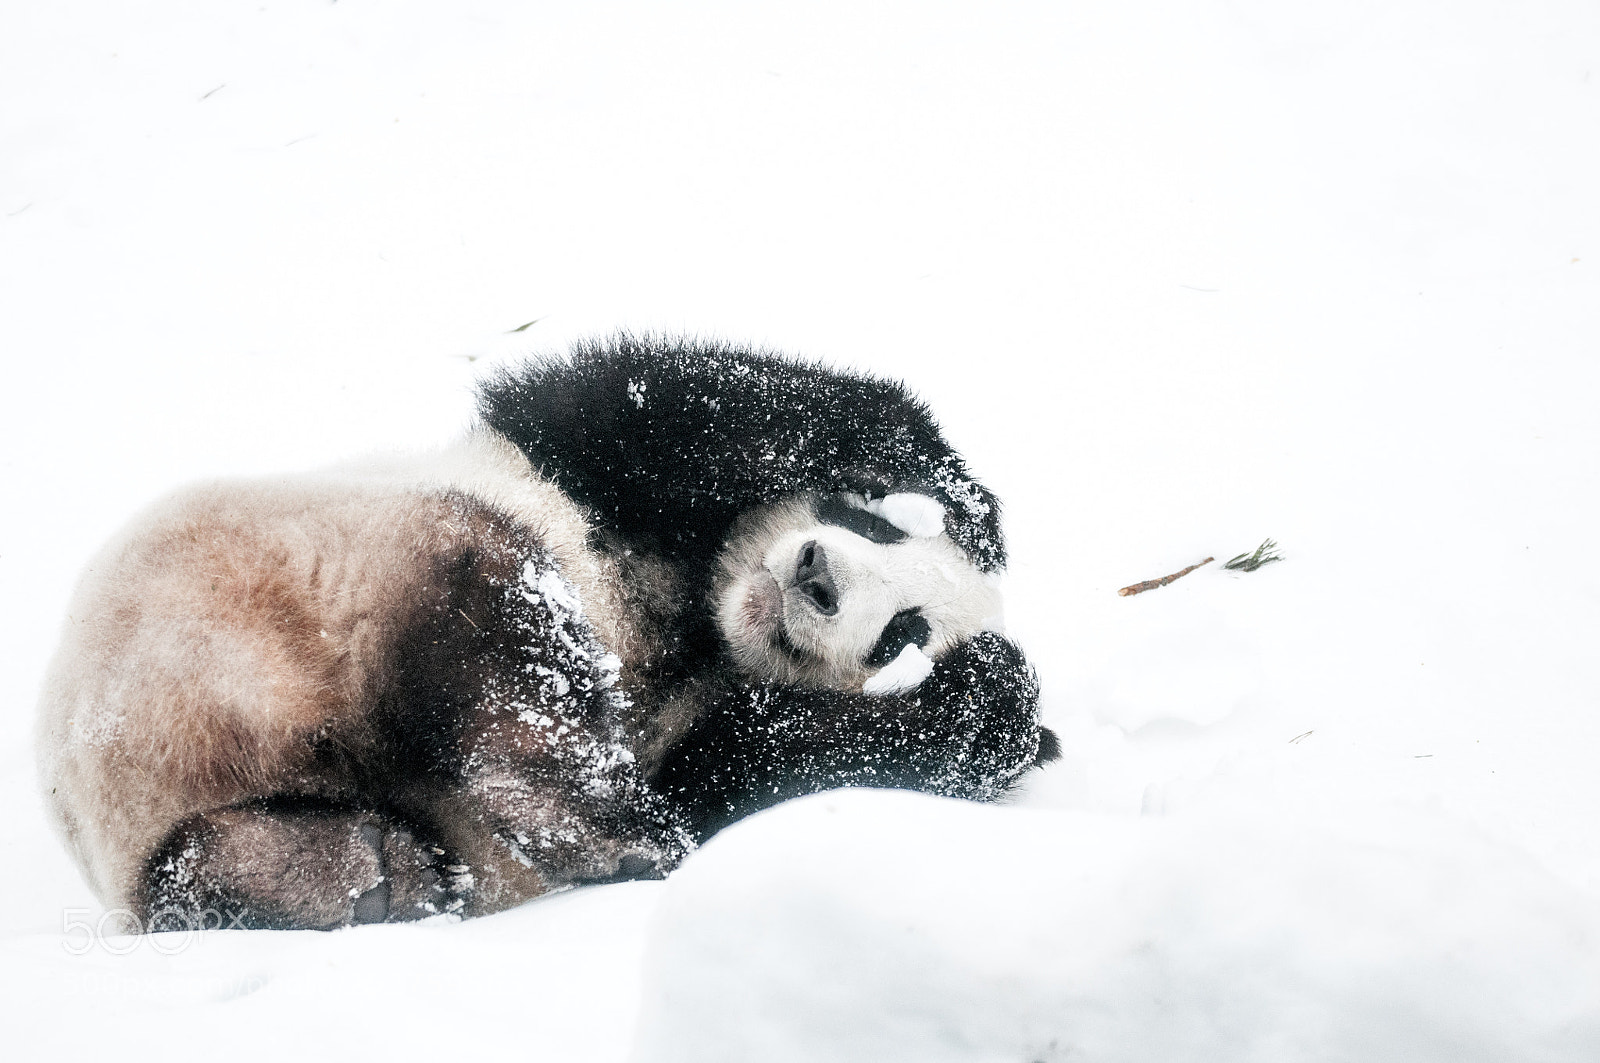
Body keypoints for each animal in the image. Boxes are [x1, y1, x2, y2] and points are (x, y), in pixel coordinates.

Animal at [36, 335, 1057, 932]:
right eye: (872, 523)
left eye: (901, 634)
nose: (814, 575)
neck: (699, 622)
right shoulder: (583, 466)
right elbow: (680, 407)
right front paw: (944, 482)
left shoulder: (705, 732)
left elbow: (767, 762)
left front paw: (989, 694)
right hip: (269, 580)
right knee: (507, 625)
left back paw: (391, 865)